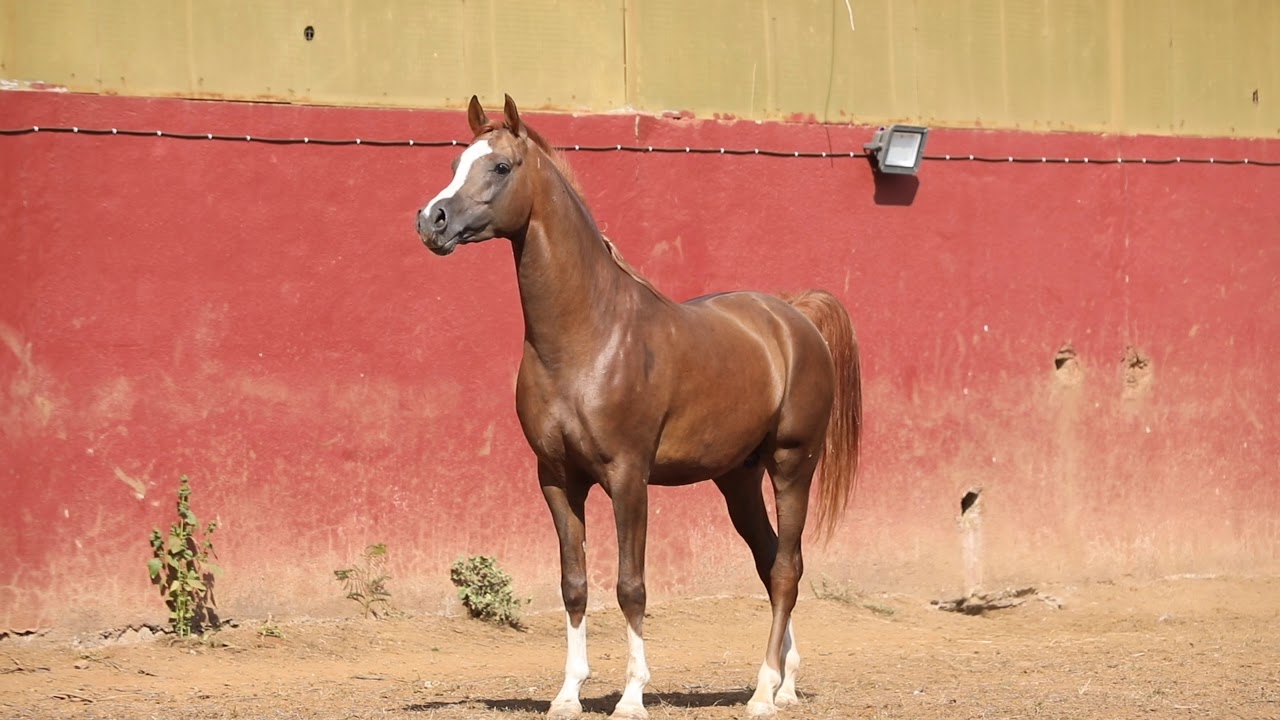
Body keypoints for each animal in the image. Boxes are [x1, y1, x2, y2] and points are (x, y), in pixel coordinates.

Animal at [415, 94, 862, 720]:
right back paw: (785, 682)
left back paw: (763, 692)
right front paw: (567, 694)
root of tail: (794, 316)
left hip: (793, 466)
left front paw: (631, 696)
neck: (588, 337)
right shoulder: (557, 479)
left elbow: (631, 585)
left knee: (787, 568)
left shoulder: (628, 479)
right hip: (738, 481)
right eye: (458, 161)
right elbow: (574, 584)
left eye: (501, 166)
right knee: (771, 562)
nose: (432, 221)